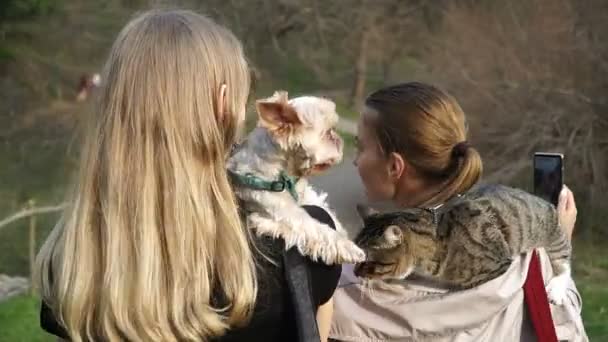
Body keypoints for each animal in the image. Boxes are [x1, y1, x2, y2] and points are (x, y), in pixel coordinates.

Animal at [226, 90, 364, 264]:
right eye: (327, 133)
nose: (338, 139)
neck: (286, 176)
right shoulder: (288, 212)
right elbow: (318, 229)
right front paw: (349, 248)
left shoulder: (305, 196)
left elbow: (325, 208)